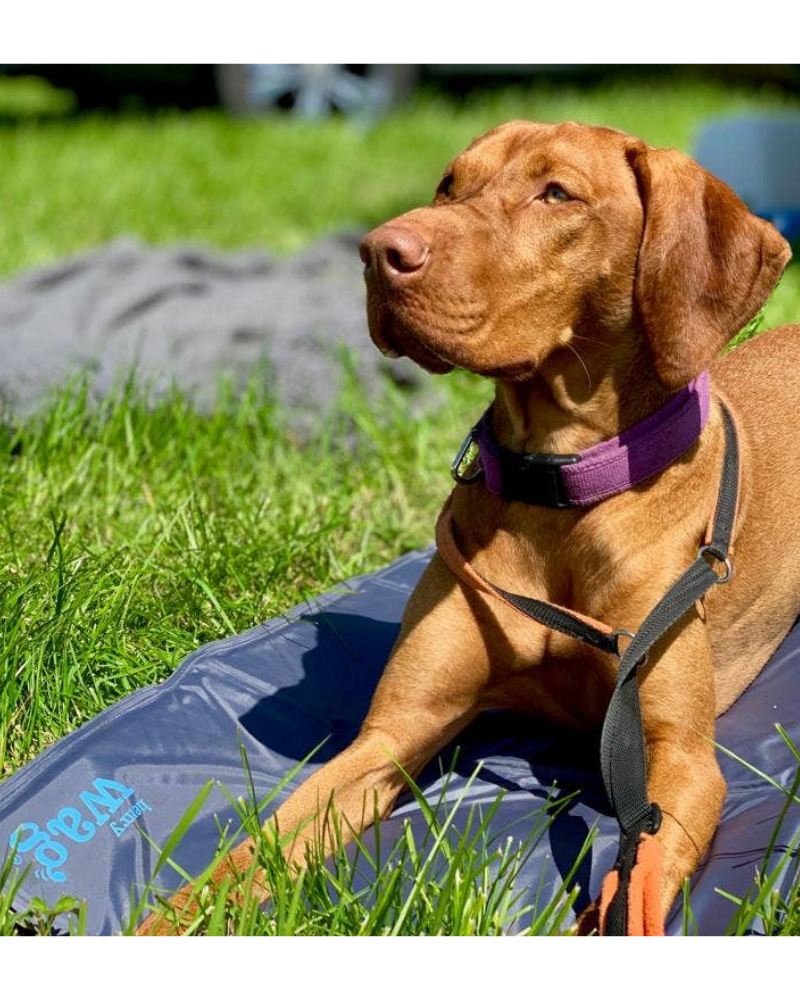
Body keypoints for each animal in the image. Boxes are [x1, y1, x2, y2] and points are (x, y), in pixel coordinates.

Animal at [138, 121, 792, 932]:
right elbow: (251, 855)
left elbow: (626, 895)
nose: (377, 251)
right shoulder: (391, 735)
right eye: (450, 184)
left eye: (556, 193)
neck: (560, 496)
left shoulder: (679, 763)